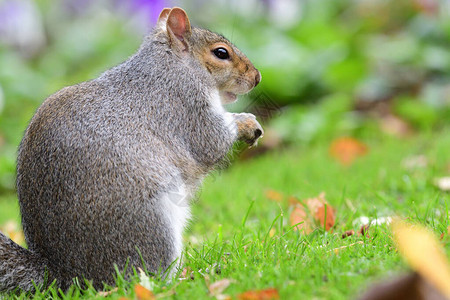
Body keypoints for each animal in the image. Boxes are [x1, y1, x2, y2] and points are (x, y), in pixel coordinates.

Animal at [0, 7, 264, 292]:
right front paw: (247, 123)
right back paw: (185, 279)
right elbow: (210, 140)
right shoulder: (185, 104)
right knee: (146, 276)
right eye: (221, 53)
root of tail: (66, 275)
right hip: (152, 225)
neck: (171, 63)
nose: (257, 77)